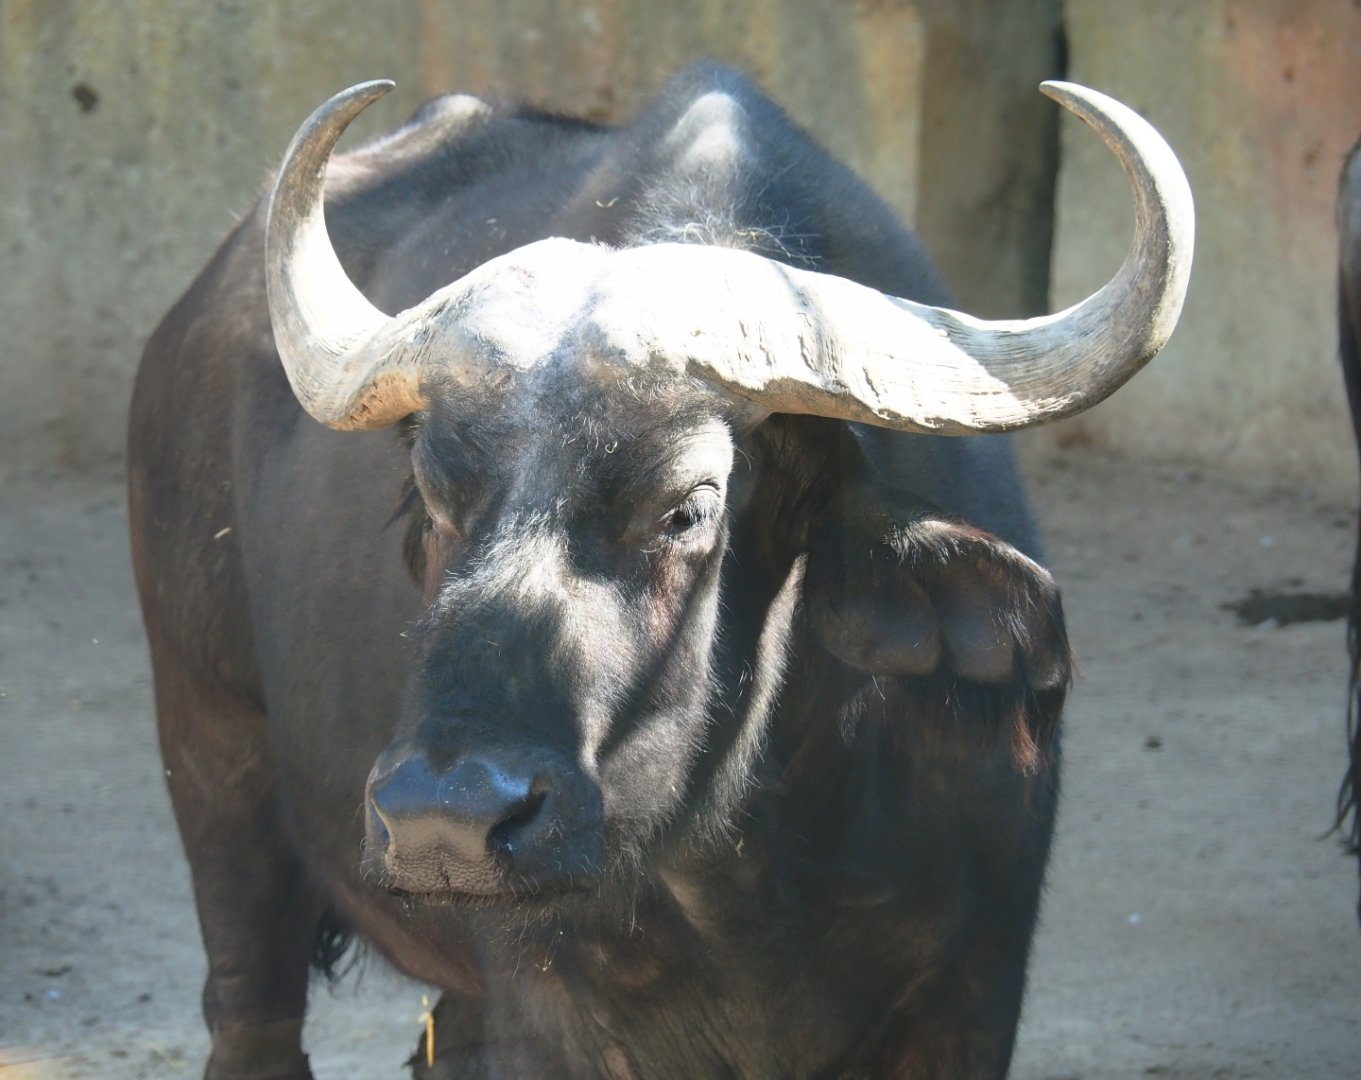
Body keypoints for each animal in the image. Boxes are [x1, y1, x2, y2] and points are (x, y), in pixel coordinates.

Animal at [127, 64, 1192, 1079]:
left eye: (690, 505)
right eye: (432, 493)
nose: (446, 819)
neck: (744, 871)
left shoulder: (969, 996)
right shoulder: (553, 1016)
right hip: (214, 757)